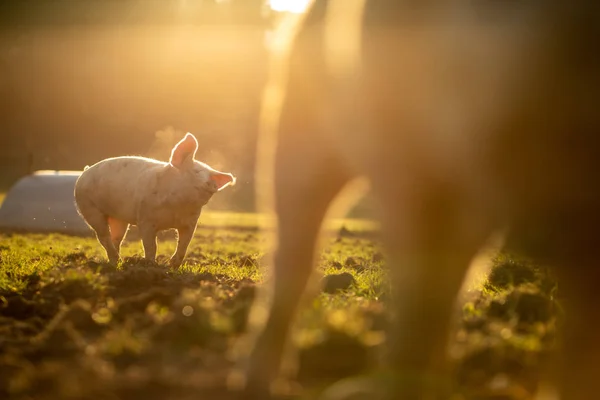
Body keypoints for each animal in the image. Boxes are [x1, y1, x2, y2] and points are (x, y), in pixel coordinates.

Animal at [72, 133, 234, 268]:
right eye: (196, 171)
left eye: (210, 175)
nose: (212, 184)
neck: (177, 208)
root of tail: (85, 172)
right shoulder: (146, 219)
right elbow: (151, 245)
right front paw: (151, 265)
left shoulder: (190, 223)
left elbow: (184, 245)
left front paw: (172, 266)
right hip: (89, 208)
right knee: (103, 236)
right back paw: (117, 261)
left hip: (119, 218)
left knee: (116, 238)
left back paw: (116, 262)